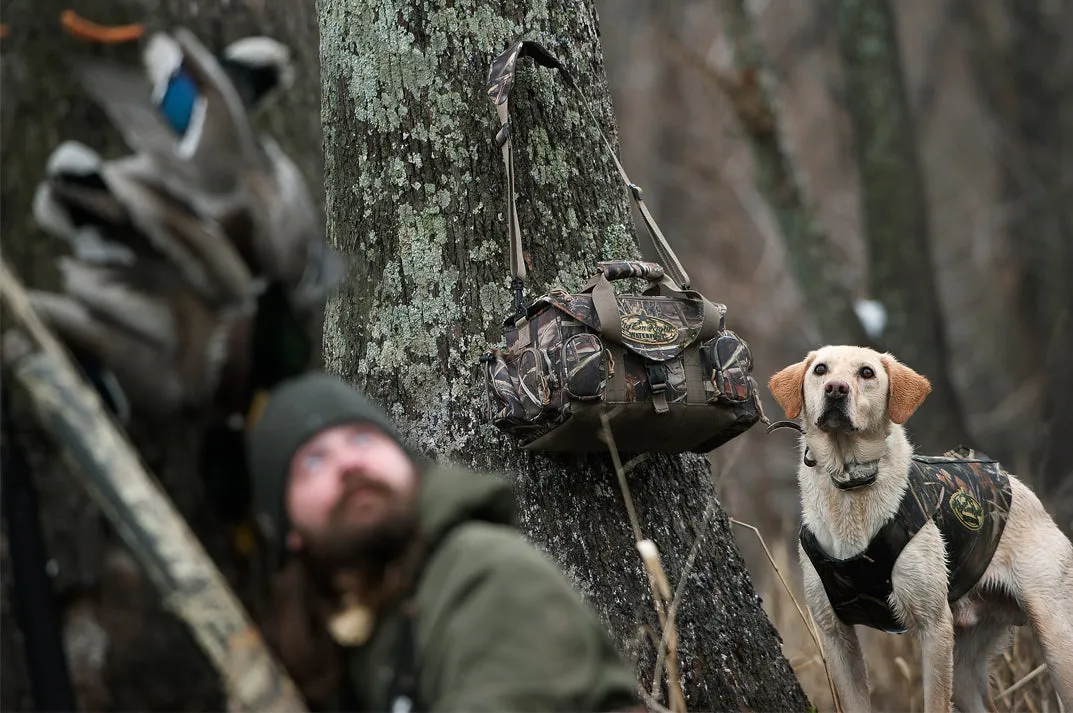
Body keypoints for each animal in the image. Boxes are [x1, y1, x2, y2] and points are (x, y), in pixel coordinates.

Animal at [768, 343, 1068, 708]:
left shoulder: (933, 624)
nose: (836, 389)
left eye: (866, 372)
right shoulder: (834, 632)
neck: (851, 486)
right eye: (820, 370)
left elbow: (934, 702)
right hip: (965, 666)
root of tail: (1017, 486)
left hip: (1055, 636)